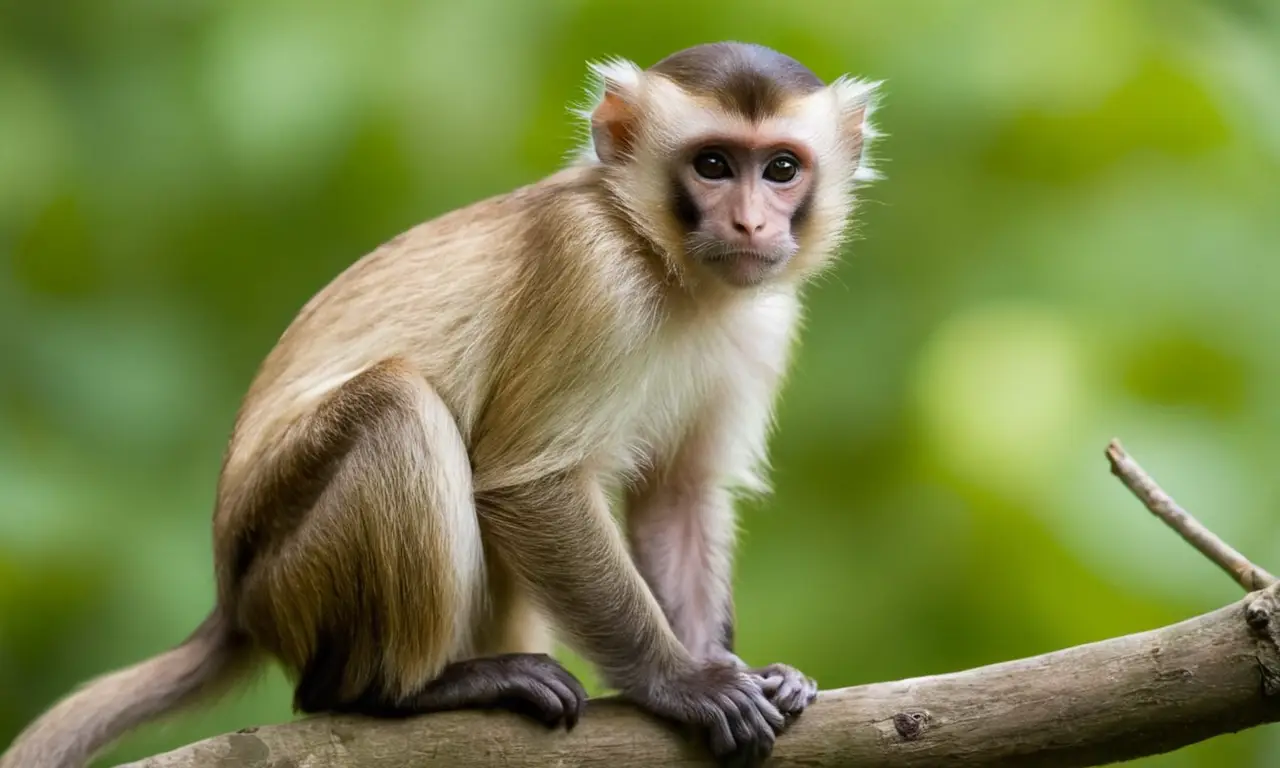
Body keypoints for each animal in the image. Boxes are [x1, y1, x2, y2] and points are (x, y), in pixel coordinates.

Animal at [1, 41, 880, 768]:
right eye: (713, 163)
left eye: (781, 170)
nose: (751, 221)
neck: (666, 264)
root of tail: (233, 600)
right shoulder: (590, 271)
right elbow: (529, 486)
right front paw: (682, 683)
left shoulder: (764, 320)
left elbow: (677, 493)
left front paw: (731, 668)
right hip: (290, 576)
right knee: (399, 409)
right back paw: (394, 693)